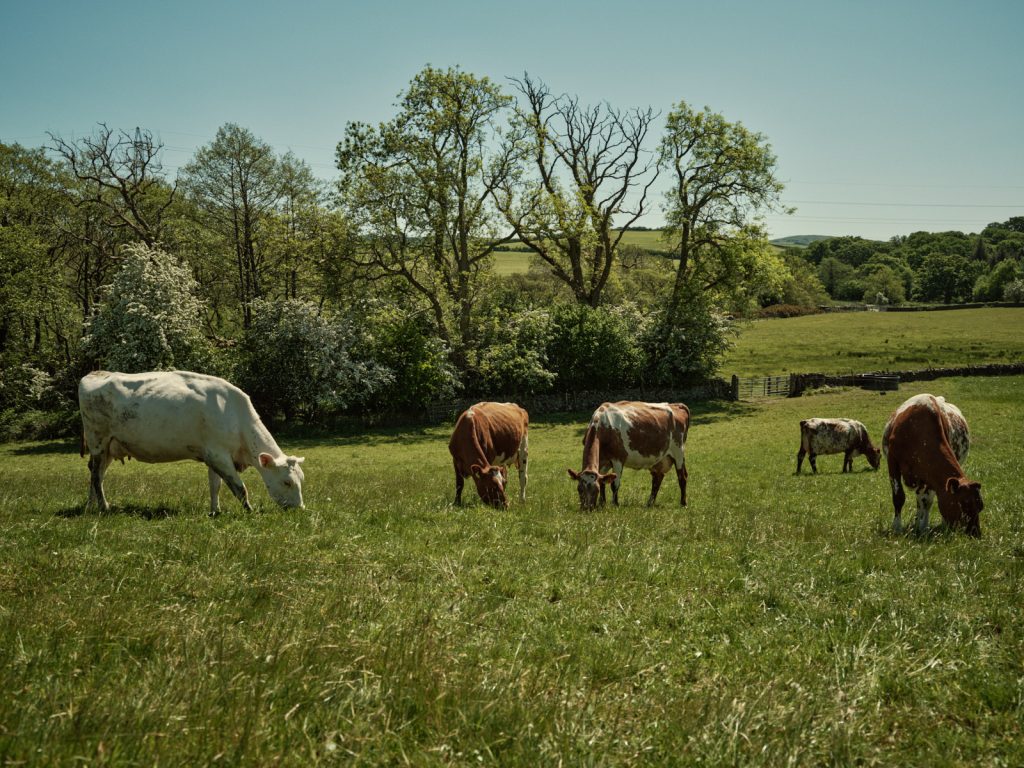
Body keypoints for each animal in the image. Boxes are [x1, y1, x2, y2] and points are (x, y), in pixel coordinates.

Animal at [78, 370, 305, 515]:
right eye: (287, 482)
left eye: (301, 479)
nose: (300, 509)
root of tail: (96, 373)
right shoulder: (218, 456)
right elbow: (239, 488)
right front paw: (250, 511)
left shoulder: (214, 454)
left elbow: (215, 485)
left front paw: (215, 511)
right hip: (98, 440)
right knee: (96, 477)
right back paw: (104, 507)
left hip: (108, 446)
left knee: (96, 474)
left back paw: (90, 507)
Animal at [882, 393, 983, 537]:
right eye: (964, 504)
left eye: (981, 507)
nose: (976, 533)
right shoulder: (892, 461)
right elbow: (898, 497)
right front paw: (897, 527)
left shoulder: (931, 476)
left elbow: (927, 501)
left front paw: (923, 527)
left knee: (922, 501)